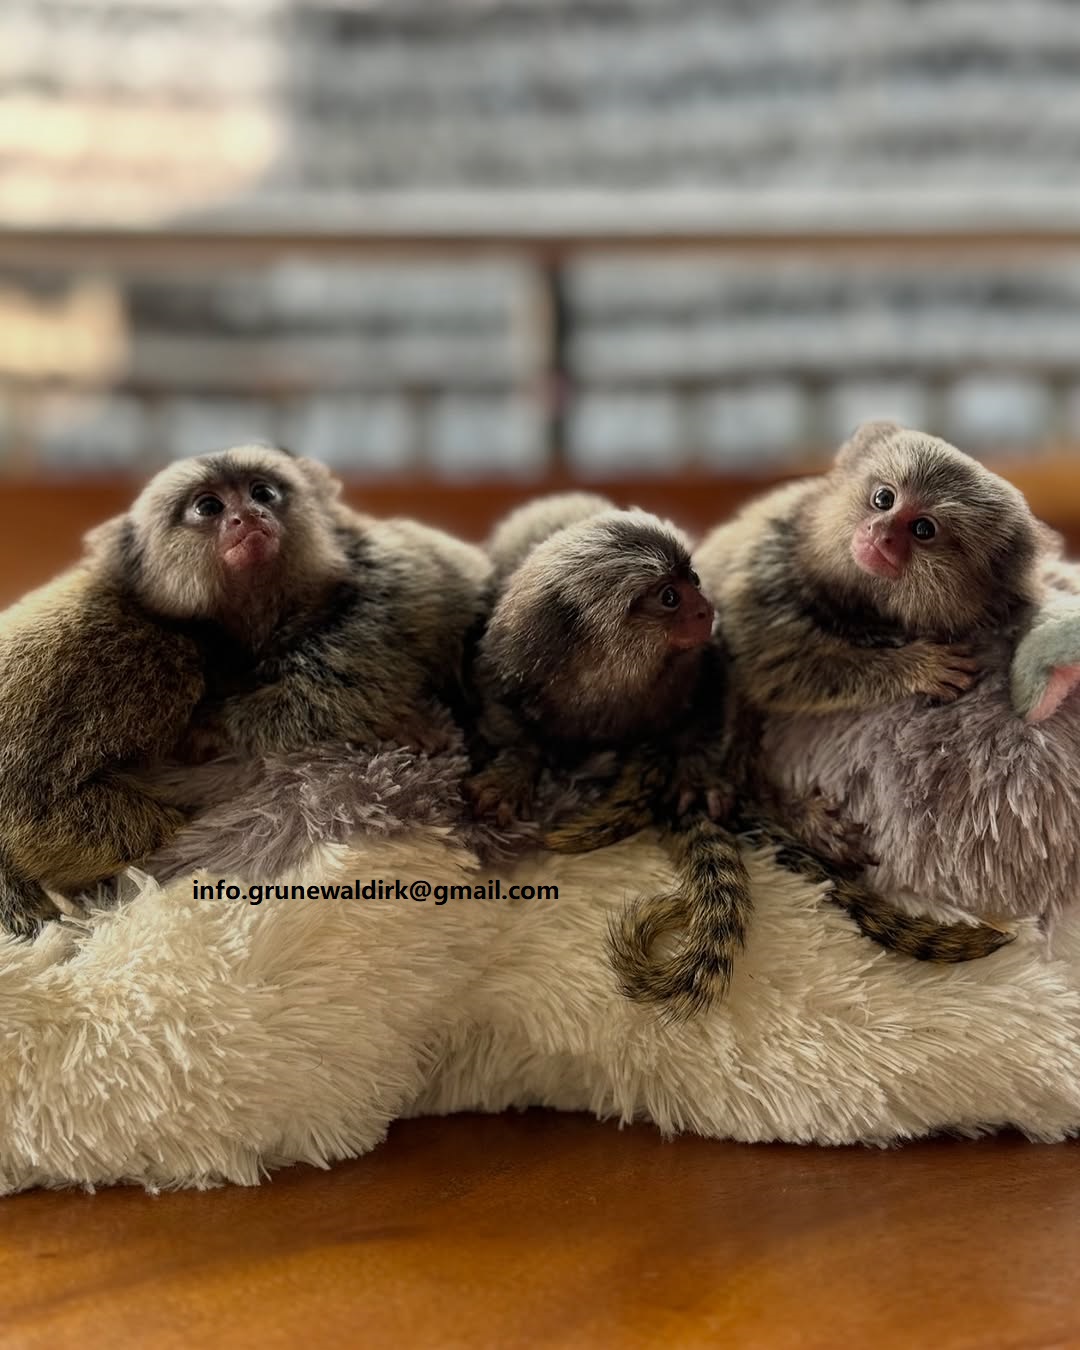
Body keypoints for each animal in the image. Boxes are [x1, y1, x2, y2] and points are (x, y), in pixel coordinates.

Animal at [0, 443, 490, 937]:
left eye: (263, 493)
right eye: (209, 507)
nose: (248, 516)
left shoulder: (379, 591)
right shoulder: (124, 662)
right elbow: (34, 820)